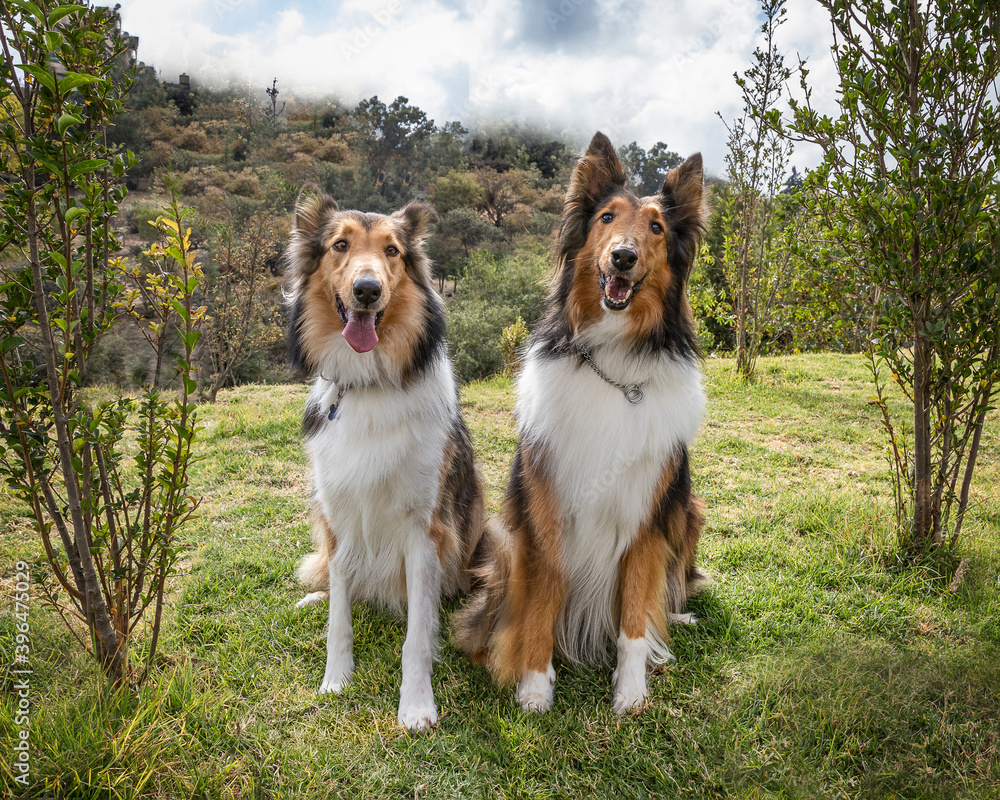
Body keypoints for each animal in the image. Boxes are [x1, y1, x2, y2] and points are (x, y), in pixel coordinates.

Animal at [286, 188, 484, 732]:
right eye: (340, 245)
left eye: (392, 251)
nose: (368, 290)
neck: (370, 382)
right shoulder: (338, 520)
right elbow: (339, 618)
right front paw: (336, 680)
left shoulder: (424, 528)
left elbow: (416, 635)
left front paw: (416, 706)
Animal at [458, 131, 708, 712]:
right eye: (606, 217)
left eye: (657, 228)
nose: (623, 256)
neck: (613, 361)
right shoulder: (545, 511)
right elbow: (540, 604)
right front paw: (534, 685)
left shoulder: (646, 515)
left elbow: (635, 616)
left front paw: (631, 690)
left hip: (687, 509)